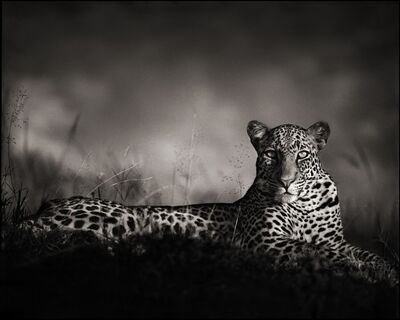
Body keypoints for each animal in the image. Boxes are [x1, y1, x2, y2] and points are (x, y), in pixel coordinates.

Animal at [21, 120, 396, 282]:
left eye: (302, 155)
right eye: (271, 155)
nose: (286, 182)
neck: (302, 203)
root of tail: (46, 204)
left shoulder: (336, 239)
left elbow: (360, 252)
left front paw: (384, 268)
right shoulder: (265, 240)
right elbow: (314, 249)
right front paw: (356, 268)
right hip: (122, 218)